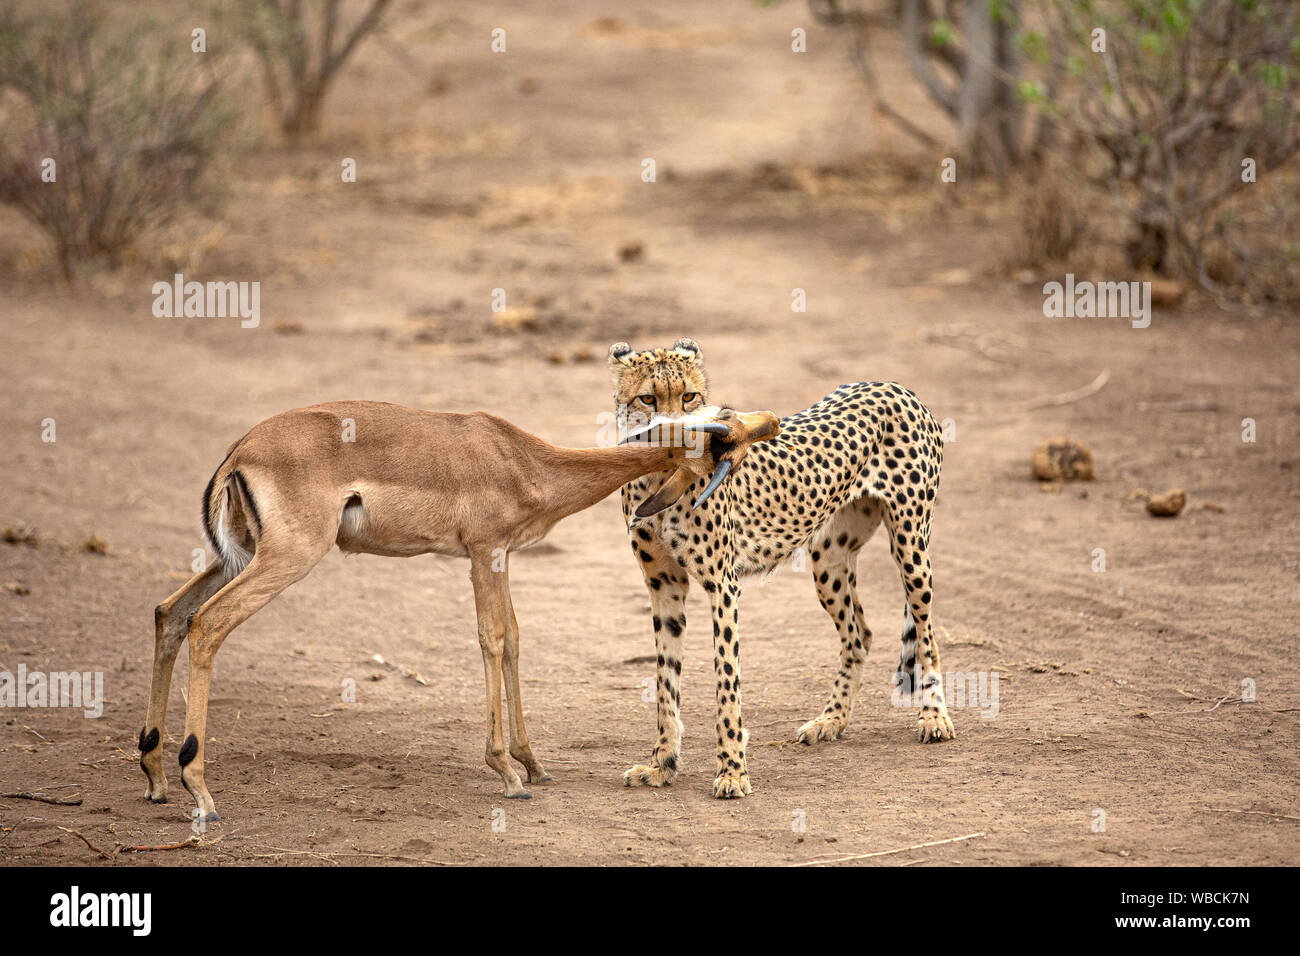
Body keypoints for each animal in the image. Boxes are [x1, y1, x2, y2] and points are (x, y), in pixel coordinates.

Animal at [608, 340, 956, 796]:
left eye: (689, 397)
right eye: (648, 399)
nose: (681, 434)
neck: (662, 476)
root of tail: (893, 385)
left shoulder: (723, 586)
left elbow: (726, 682)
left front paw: (732, 771)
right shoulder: (663, 585)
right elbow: (667, 682)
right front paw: (662, 764)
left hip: (911, 545)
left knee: (927, 632)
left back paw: (934, 717)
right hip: (828, 559)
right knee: (859, 635)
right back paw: (831, 721)